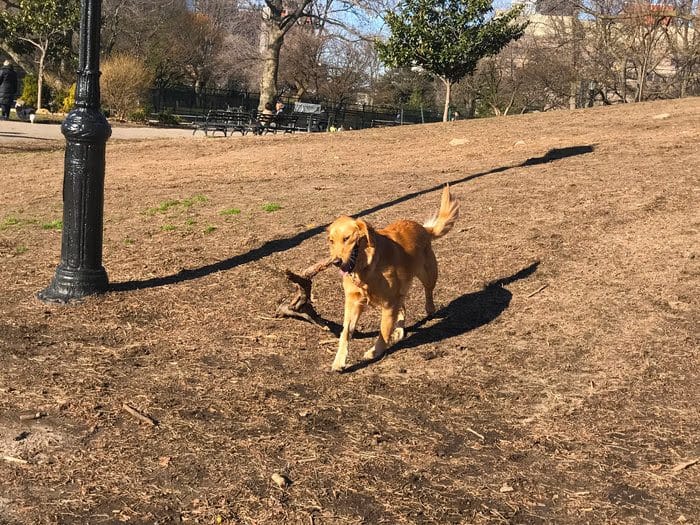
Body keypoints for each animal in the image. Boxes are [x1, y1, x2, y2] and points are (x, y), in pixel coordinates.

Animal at [328, 186, 460, 370]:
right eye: (331, 241)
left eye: (347, 238)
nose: (336, 262)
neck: (367, 267)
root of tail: (423, 228)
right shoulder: (354, 301)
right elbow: (345, 332)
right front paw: (339, 361)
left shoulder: (389, 302)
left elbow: (383, 331)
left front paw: (376, 351)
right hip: (401, 289)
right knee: (403, 306)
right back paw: (399, 329)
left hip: (428, 274)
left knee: (428, 291)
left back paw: (430, 309)